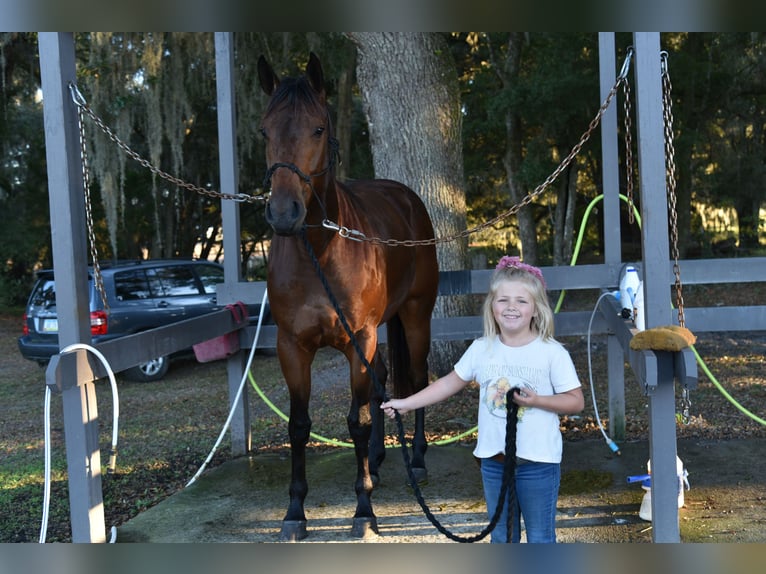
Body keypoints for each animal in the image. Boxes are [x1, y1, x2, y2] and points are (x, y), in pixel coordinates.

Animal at [257, 53, 439, 541]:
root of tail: (407, 197)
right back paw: (377, 458)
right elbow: (298, 426)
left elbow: (356, 421)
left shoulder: (358, 339)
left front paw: (363, 509)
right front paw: (294, 513)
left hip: (414, 316)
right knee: (382, 384)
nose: (283, 214)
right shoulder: (292, 347)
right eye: (265, 131)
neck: (320, 250)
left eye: (318, 128)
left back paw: (417, 458)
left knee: (418, 379)